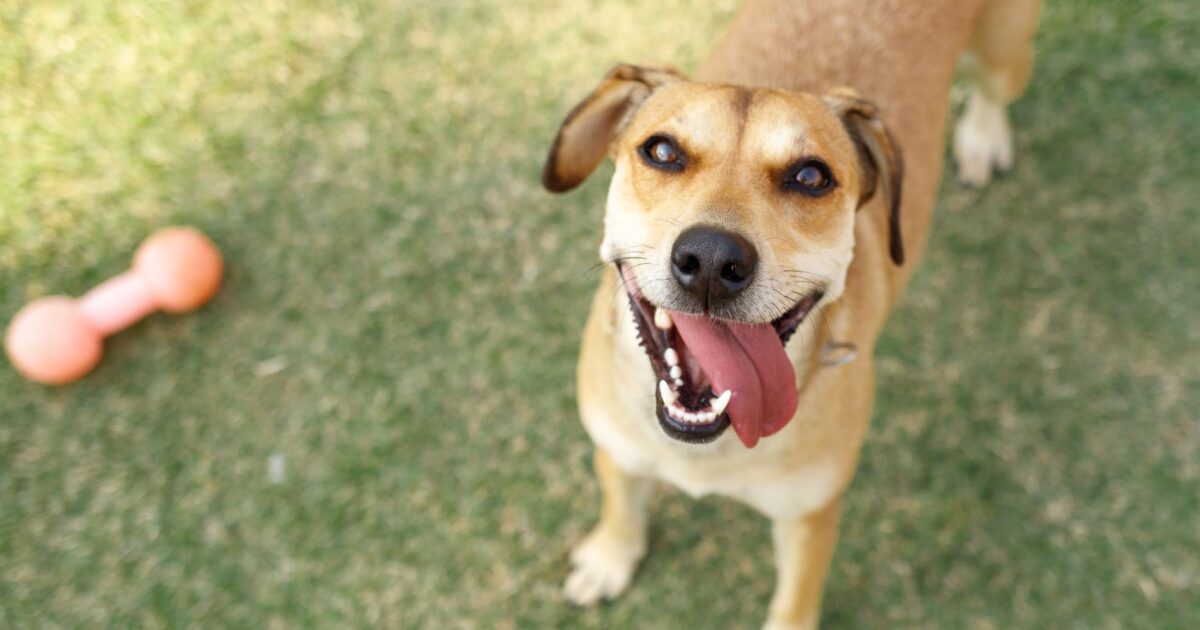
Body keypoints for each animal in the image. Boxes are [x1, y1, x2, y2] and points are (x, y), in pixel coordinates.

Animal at [544, 2, 1041, 624]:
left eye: (810, 177)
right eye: (661, 151)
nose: (711, 261)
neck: (710, 449)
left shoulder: (810, 515)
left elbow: (794, 601)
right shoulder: (617, 448)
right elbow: (622, 505)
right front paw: (610, 559)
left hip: (1005, 52)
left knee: (994, 91)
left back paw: (981, 137)